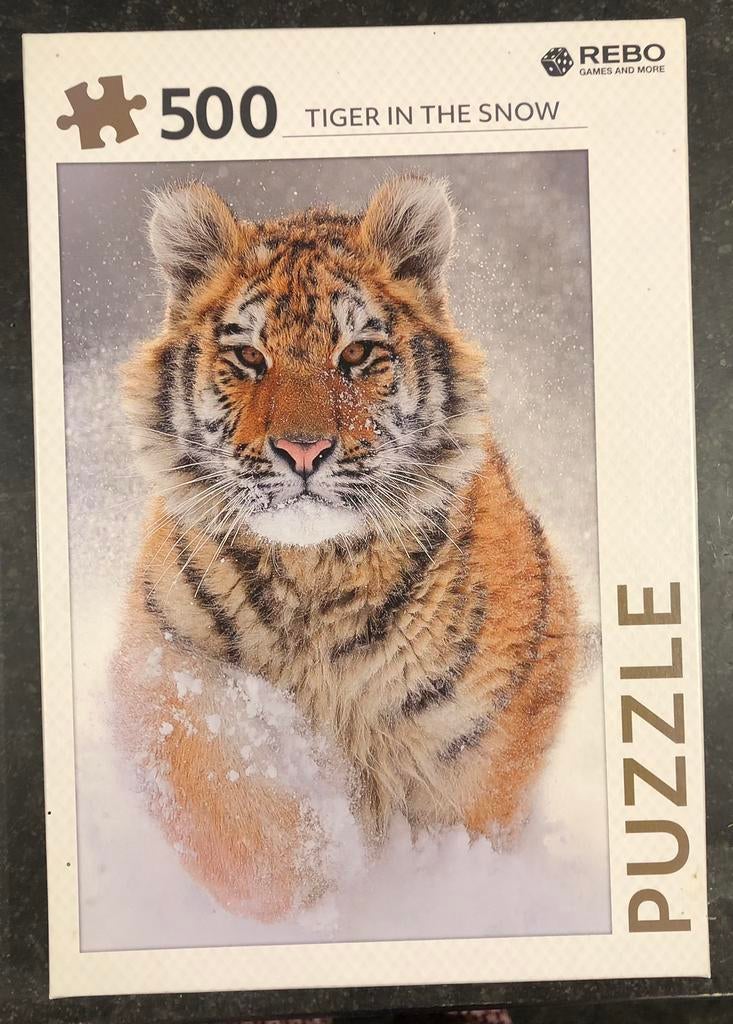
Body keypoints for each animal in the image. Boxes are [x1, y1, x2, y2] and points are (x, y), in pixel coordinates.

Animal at [112, 174, 579, 921]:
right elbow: (221, 794)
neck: (315, 575)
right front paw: (310, 880)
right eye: (249, 357)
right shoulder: (162, 661)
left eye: (356, 355)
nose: (303, 450)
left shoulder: (486, 726)